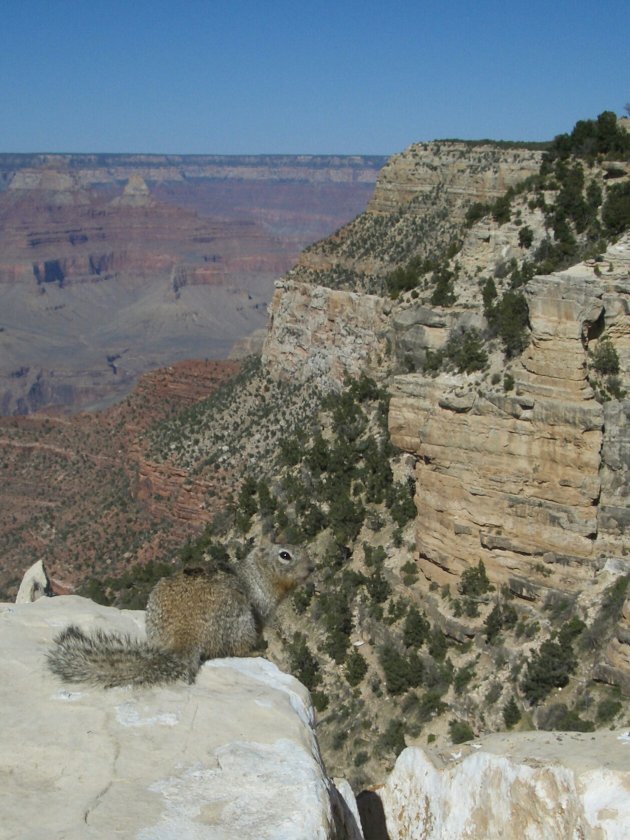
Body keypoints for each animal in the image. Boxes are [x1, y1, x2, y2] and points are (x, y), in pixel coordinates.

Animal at [48, 544, 314, 688]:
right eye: (285, 555)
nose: (312, 568)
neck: (257, 573)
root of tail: (185, 635)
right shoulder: (260, 606)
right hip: (242, 618)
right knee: (236, 647)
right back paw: (255, 651)